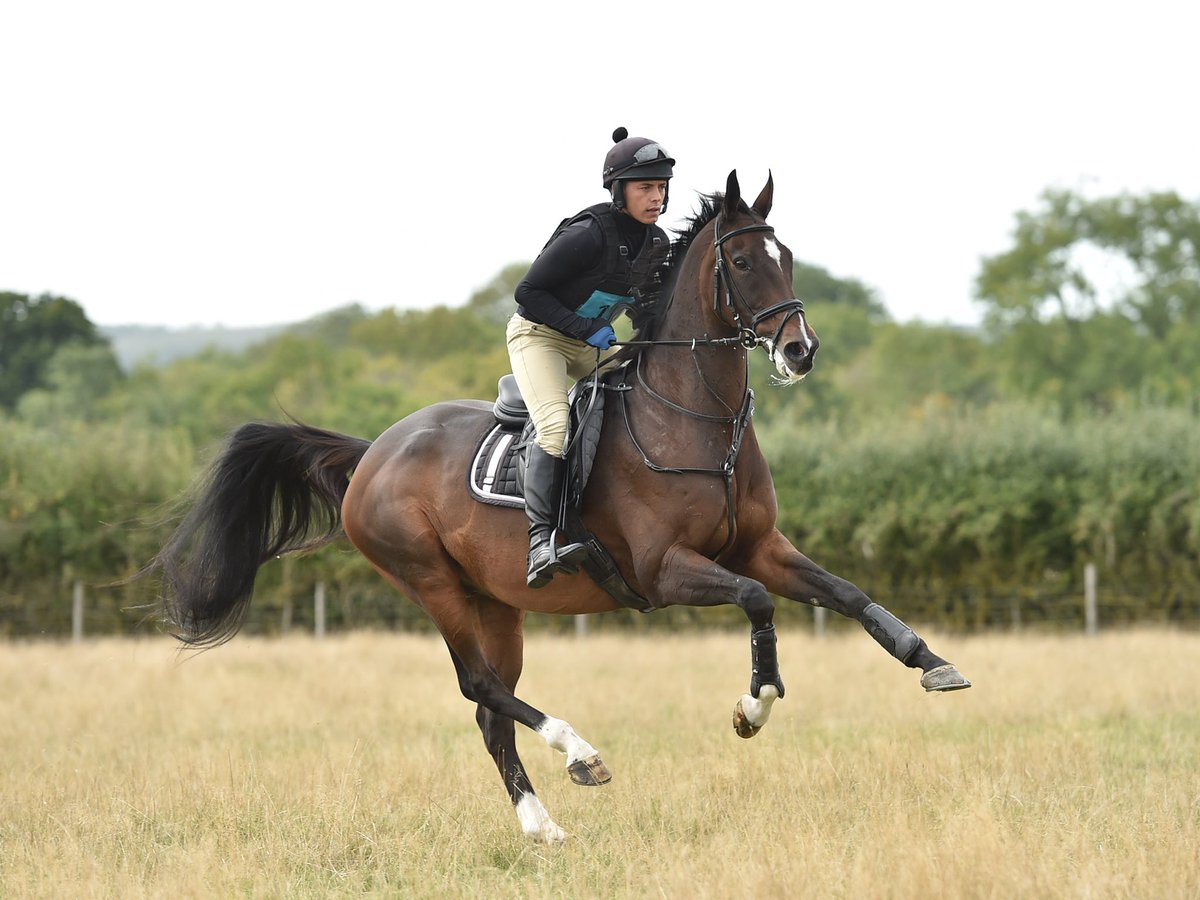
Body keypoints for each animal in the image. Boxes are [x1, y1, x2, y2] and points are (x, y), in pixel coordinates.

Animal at [150, 171, 971, 844]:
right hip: (431, 583)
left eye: (788, 256)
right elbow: (757, 601)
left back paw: (542, 823)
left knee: (490, 711)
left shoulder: (759, 545)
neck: (695, 419)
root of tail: (374, 453)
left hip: (496, 603)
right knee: (480, 688)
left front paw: (931, 663)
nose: (801, 350)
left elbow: (846, 593)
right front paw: (754, 705)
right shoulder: (665, 570)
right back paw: (580, 754)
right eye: (742, 263)